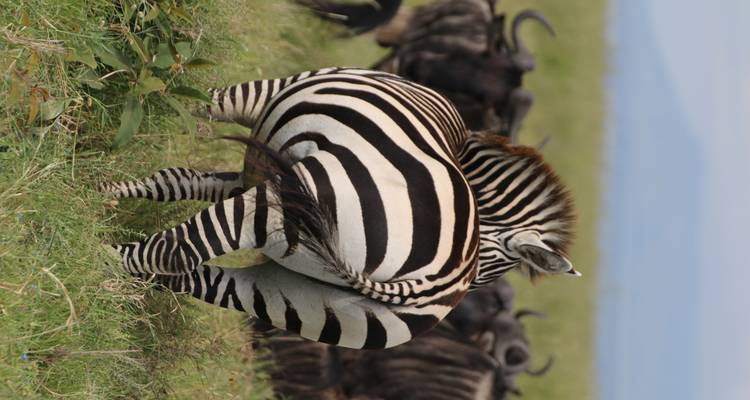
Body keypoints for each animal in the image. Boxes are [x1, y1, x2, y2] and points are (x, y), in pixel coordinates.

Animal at [100, 67, 577, 349]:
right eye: (491, 273)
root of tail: (430, 282)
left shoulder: (268, 103)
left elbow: (202, 100)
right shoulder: (266, 171)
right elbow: (181, 181)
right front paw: (113, 188)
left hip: (289, 204)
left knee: (175, 252)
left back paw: (91, 257)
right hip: (298, 300)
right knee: (193, 275)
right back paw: (114, 279)